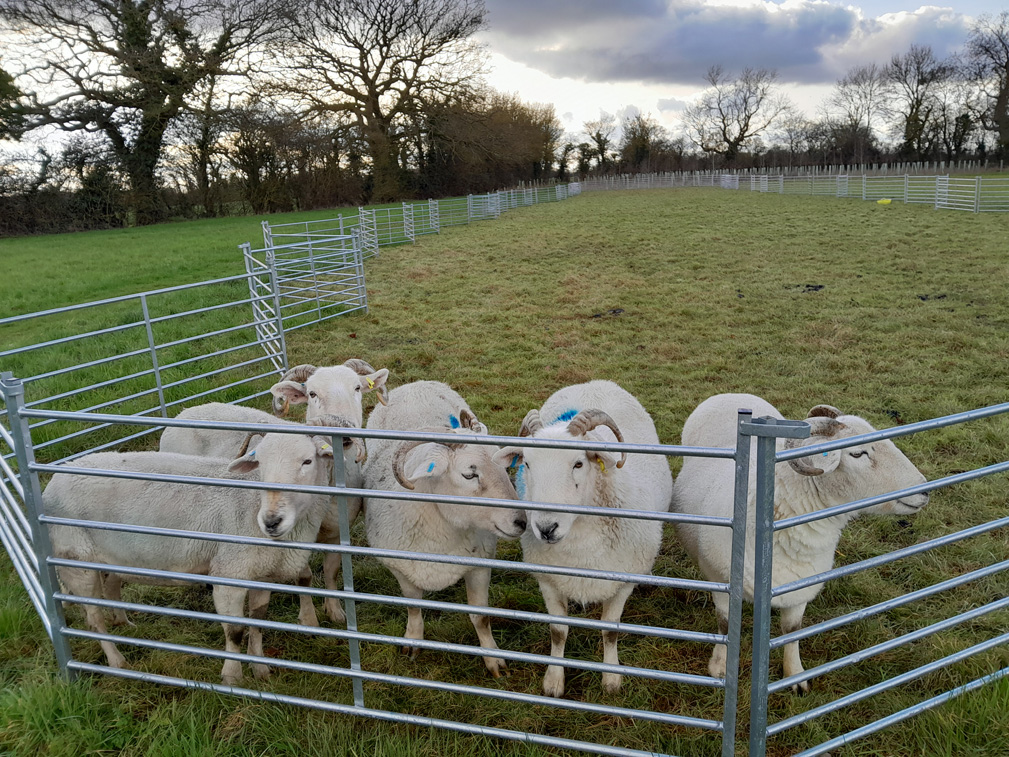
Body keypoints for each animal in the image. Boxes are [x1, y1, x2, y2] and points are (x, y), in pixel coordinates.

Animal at [43, 431, 334, 685]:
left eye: (307, 461)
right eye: (260, 464)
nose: (271, 522)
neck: (251, 503)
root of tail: (52, 482)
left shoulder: (261, 574)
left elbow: (257, 624)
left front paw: (261, 670)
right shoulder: (229, 573)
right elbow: (235, 631)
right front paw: (232, 677)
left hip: (107, 557)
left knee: (110, 588)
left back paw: (124, 623)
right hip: (75, 561)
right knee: (94, 619)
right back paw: (118, 661)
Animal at [363, 381, 527, 678]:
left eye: (504, 466)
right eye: (469, 474)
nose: (521, 522)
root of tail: (416, 383)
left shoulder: (480, 564)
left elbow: (481, 617)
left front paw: (493, 659)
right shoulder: (400, 568)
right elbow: (413, 606)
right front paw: (413, 642)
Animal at [492, 379, 674, 698]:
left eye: (579, 463)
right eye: (527, 464)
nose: (546, 528)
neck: (580, 543)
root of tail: (595, 382)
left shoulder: (623, 581)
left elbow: (610, 631)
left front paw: (611, 679)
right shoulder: (548, 580)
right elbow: (558, 631)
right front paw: (554, 680)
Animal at [671, 393, 929, 694]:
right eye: (857, 453)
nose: (924, 490)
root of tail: (730, 394)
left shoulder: (800, 588)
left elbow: (791, 632)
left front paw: (794, 676)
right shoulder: (721, 579)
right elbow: (725, 626)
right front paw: (720, 668)